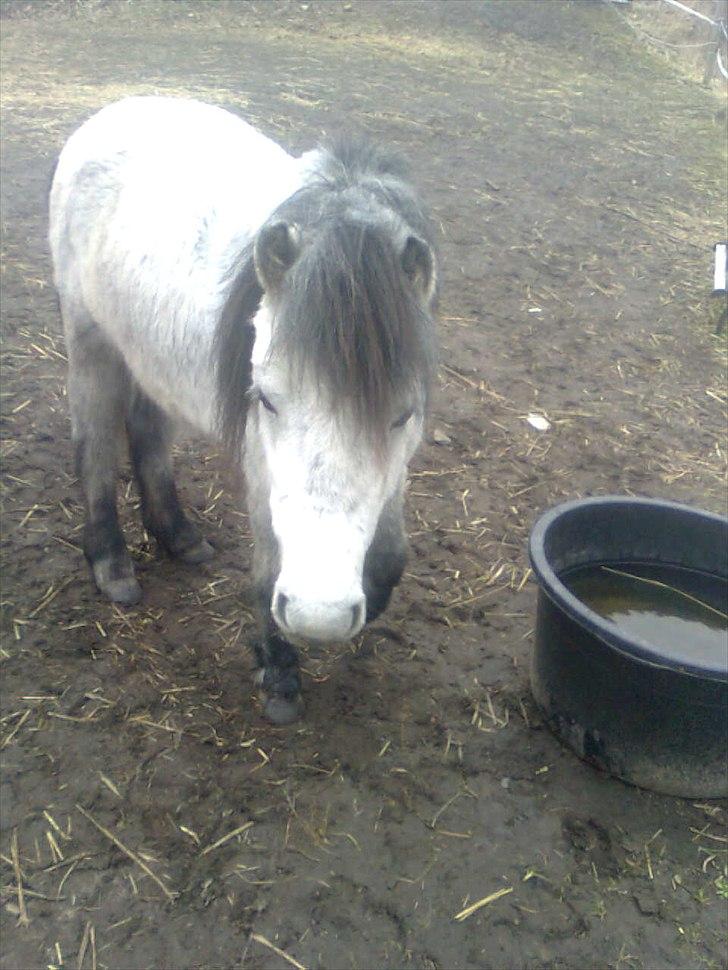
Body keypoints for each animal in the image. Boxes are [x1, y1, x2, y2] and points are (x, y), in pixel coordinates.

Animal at [52, 96, 438, 720]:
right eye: (267, 400)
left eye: (404, 414)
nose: (319, 616)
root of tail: (112, 112)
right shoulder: (263, 458)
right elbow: (270, 557)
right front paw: (277, 668)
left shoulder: (396, 466)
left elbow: (390, 554)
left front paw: (370, 600)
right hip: (91, 345)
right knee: (95, 446)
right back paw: (111, 565)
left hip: (151, 358)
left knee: (147, 431)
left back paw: (179, 536)